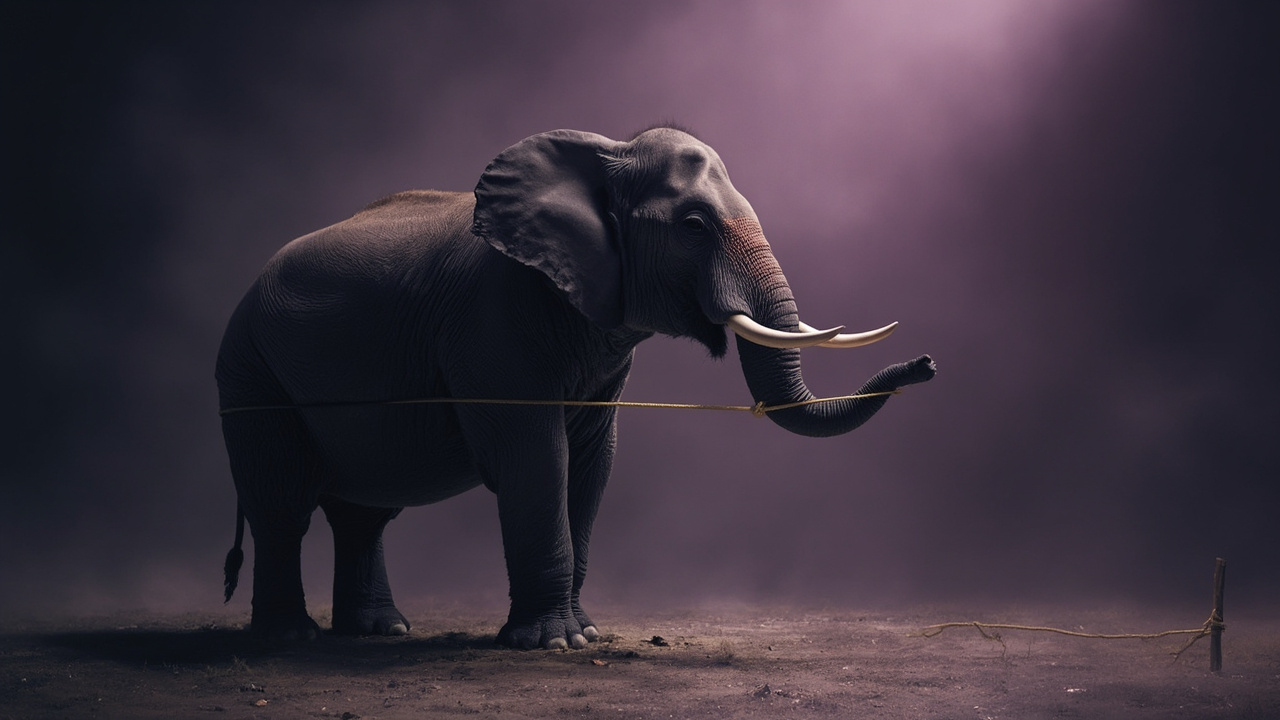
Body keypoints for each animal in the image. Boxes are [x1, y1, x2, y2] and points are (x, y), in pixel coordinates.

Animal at [216, 126, 936, 649]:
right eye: (693, 226)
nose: (926, 364)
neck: (606, 152)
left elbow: (592, 462)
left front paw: (584, 634)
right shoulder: (493, 322)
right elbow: (539, 457)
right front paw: (552, 644)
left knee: (363, 512)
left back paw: (378, 632)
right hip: (249, 368)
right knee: (283, 502)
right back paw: (290, 638)